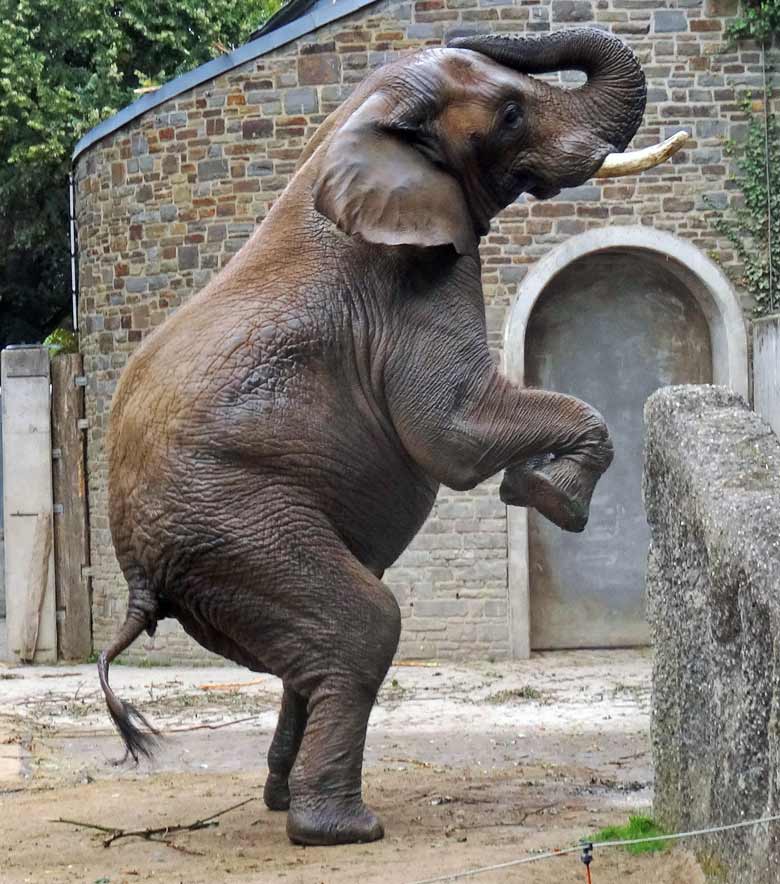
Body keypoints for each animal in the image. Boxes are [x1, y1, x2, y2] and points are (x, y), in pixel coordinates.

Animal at [100, 25, 680, 844]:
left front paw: (539, 488)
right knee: (364, 626)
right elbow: (452, 431)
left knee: (311, 653)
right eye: (509, 114)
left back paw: (283, 798)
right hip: (232, 522)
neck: (357, 124)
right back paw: (341, 830)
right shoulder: (414, 281)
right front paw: (547, 496)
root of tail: (138, 579)